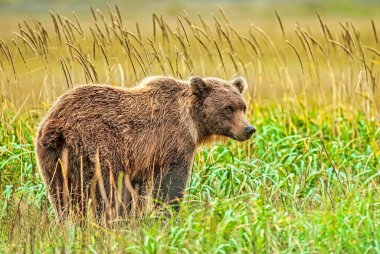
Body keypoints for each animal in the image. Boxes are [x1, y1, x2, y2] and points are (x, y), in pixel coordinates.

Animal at [35, 75, 255, 218]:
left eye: (243, 107)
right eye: (228, 108)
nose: (249, 129)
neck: (193, 122)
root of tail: (58, 124)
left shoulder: (140, 160)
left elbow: (134, 193)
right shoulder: (172, 144)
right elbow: (170, 185)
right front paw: (167, 214)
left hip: (52, 157)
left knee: (61, 197)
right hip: (97, 149)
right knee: (104, 192)